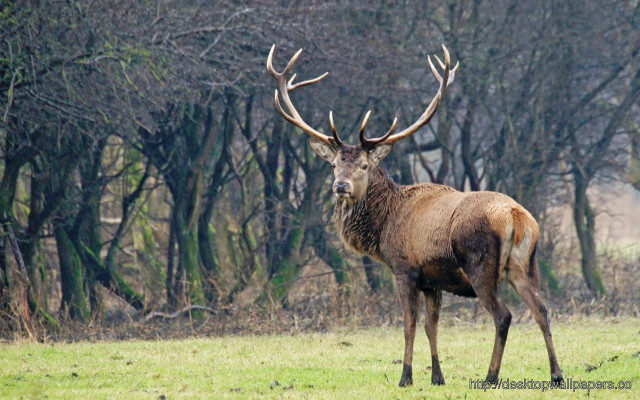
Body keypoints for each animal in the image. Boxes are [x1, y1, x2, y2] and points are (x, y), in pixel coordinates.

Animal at [266, 44, 563, 388]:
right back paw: (556, 375)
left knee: (503, 315)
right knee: (542, 310)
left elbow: (408, 325)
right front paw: (437, 377)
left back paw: (491, 377)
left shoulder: (405, 268)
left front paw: (405, 376)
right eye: (335, 164)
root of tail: (516, 217)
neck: (383, 226)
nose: (341, 186)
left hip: (480, 264)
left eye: (364, 166)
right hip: (525, 266)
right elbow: (431, 326)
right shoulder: (432, 280)